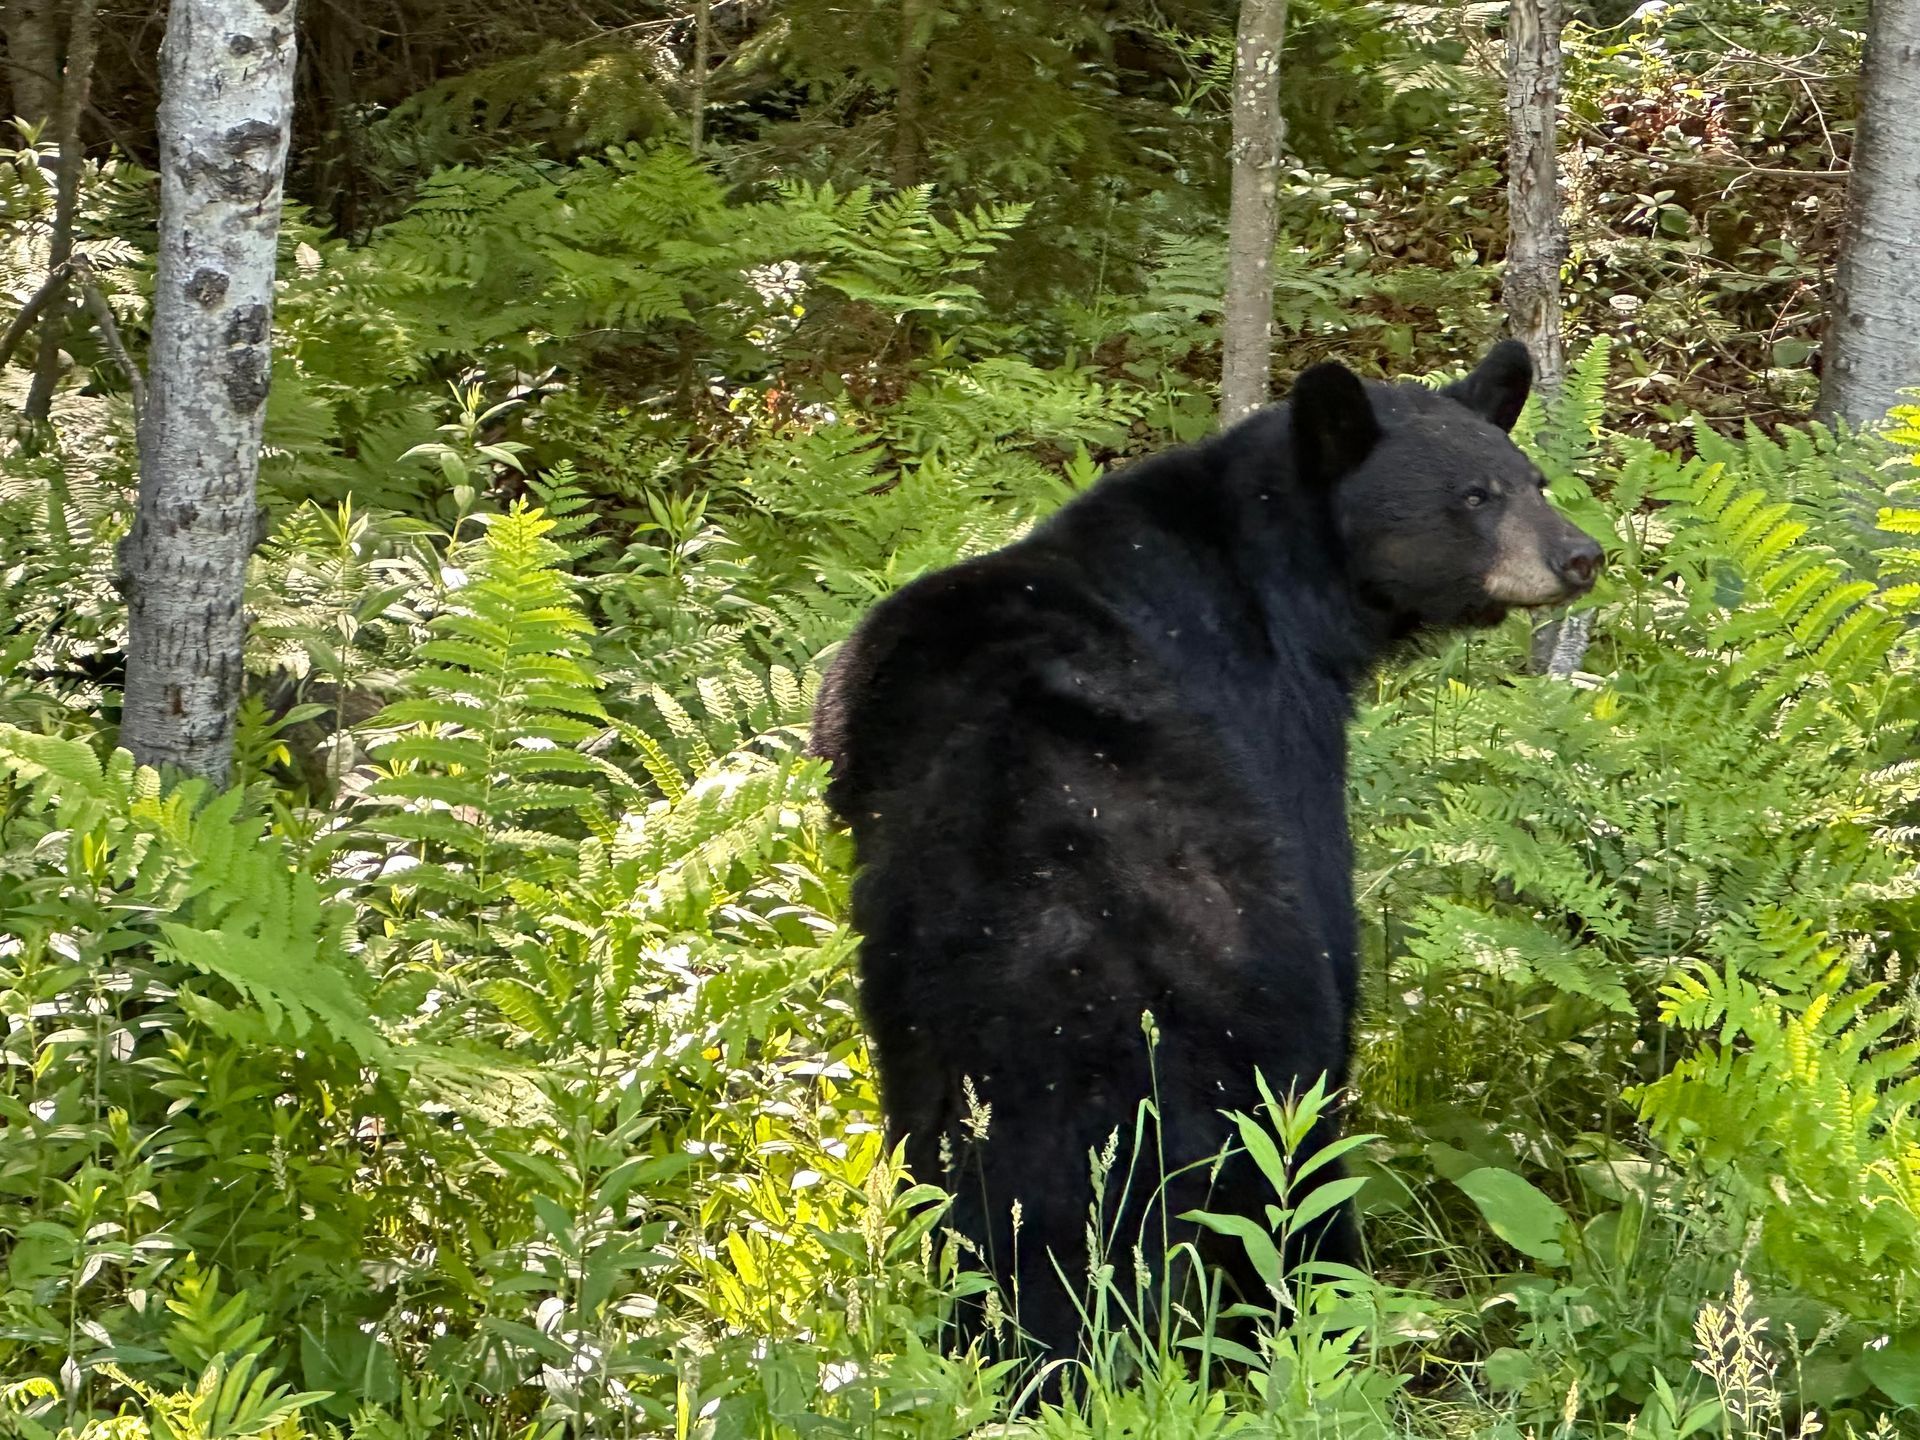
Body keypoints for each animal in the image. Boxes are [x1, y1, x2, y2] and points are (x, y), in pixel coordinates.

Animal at [808, 341, 1602, 1369]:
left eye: (1532, 480)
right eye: (1473, 495)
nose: (1579, 555)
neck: (1268, 573)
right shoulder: (1277, 722)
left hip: (924, 1012)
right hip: (1233, 997)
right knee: (1281, 1156)